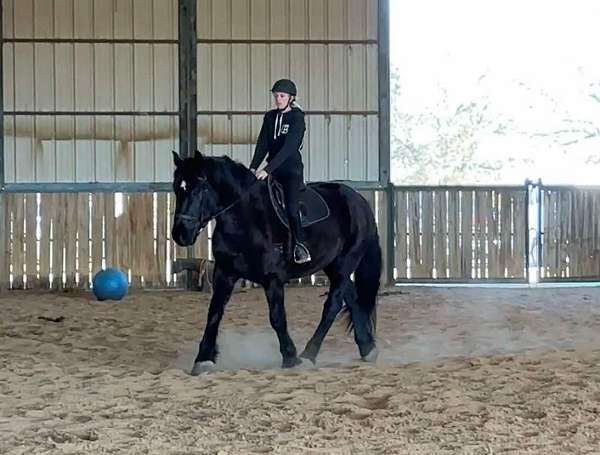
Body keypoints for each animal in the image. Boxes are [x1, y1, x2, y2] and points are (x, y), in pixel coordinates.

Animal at [171, 151, 382, 376]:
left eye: (200, 188)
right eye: (177, 188)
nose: (180, 233)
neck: (246, 217)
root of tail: (359, 201)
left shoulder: (272, 278)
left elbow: (277, 317)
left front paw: (291, 357)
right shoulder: (224, 273)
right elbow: (214, 313)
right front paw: (203, 359)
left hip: (345, 263)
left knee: (332, 305)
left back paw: (309, 355)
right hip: (333, 265)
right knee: (351, 297)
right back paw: (367, 348)